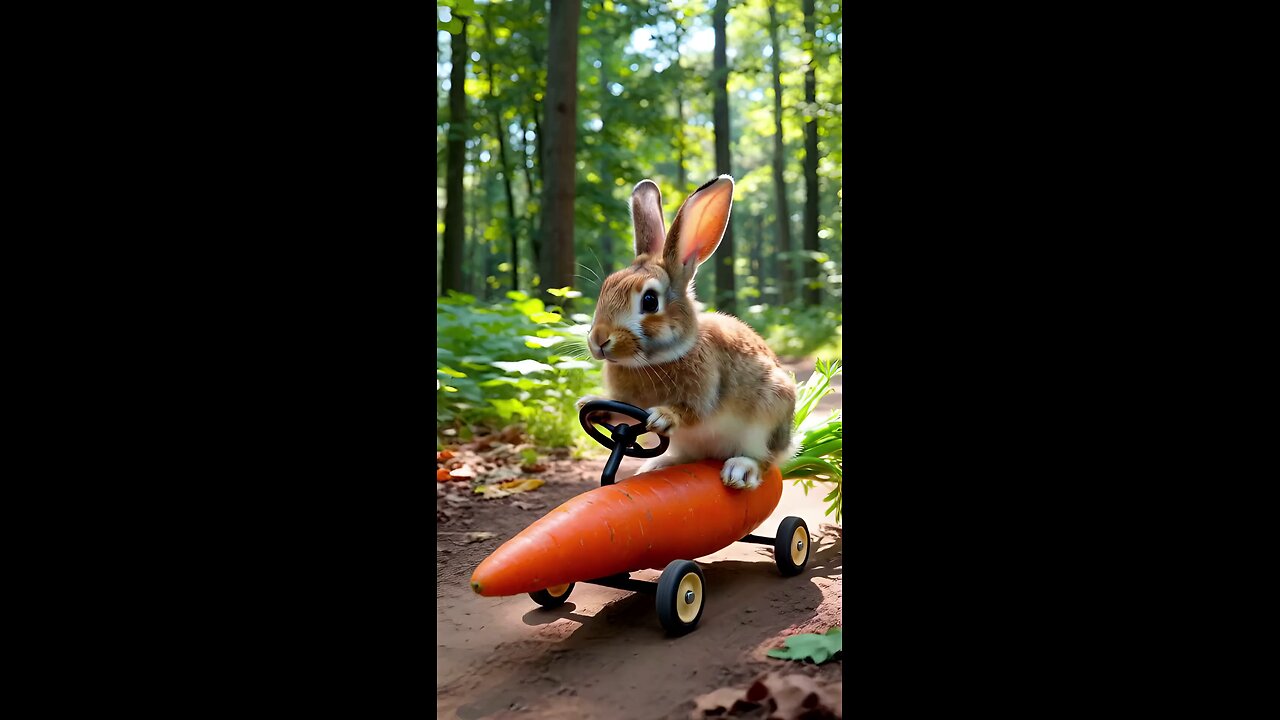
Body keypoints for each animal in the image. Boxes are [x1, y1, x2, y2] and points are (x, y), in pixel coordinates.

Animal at [575, 175, 797, 490]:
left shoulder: (705, 393)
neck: (655, 360)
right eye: (606, 287)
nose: (598, 341)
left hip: (770, 415)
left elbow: (691, 413)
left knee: (765, 460)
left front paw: (663, 416)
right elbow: (618, 410)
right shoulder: (626, 402)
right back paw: (657, 465)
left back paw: (740, 470)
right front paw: (587, 404)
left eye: (650, 301)